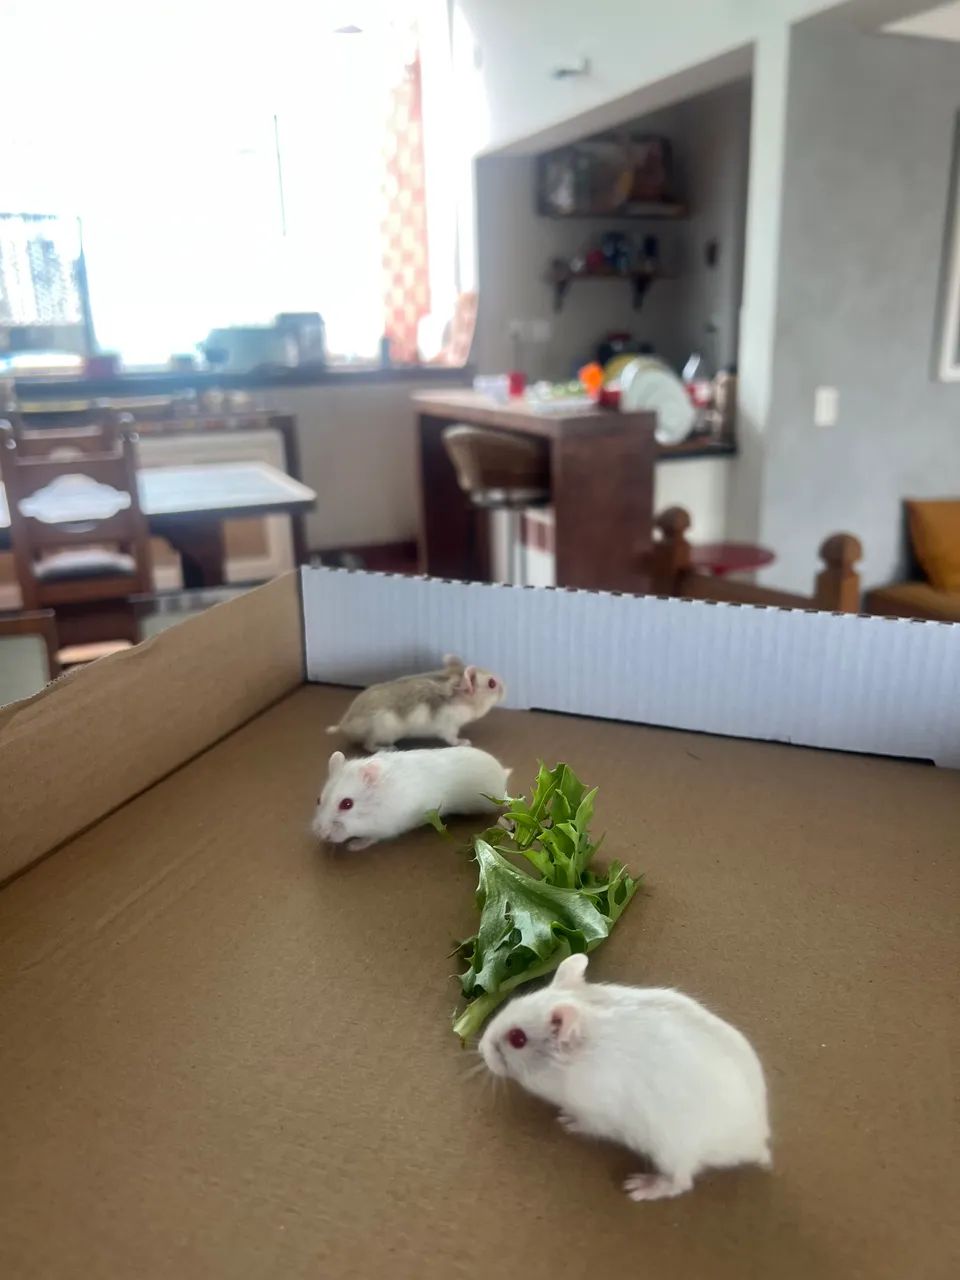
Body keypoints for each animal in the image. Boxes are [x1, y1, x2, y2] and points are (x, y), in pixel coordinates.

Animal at [312, 746, 511, 851]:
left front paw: (354, 846)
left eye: (347, 804)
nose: (321, 834)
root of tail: (503, 773)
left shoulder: (386, 828)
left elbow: (372, 838)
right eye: (318, 800)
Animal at [326, 655, 505, 752]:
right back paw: (389, 748)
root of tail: (343, 725)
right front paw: (465, 742)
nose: (506, 690)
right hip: (383, 732)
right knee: (368, 746)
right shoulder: (448, 727)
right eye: (492, 684)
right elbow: (452, 739)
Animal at [478, 953, 771, 1202]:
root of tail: (755, 1143)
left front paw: (565, 1120)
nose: (481, 1048)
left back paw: (638, 1187)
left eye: (518, 1039)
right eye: (515, 1001)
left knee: (681, 1182)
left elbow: (583, 1123)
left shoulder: (597, 1114)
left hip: (672, 1151)